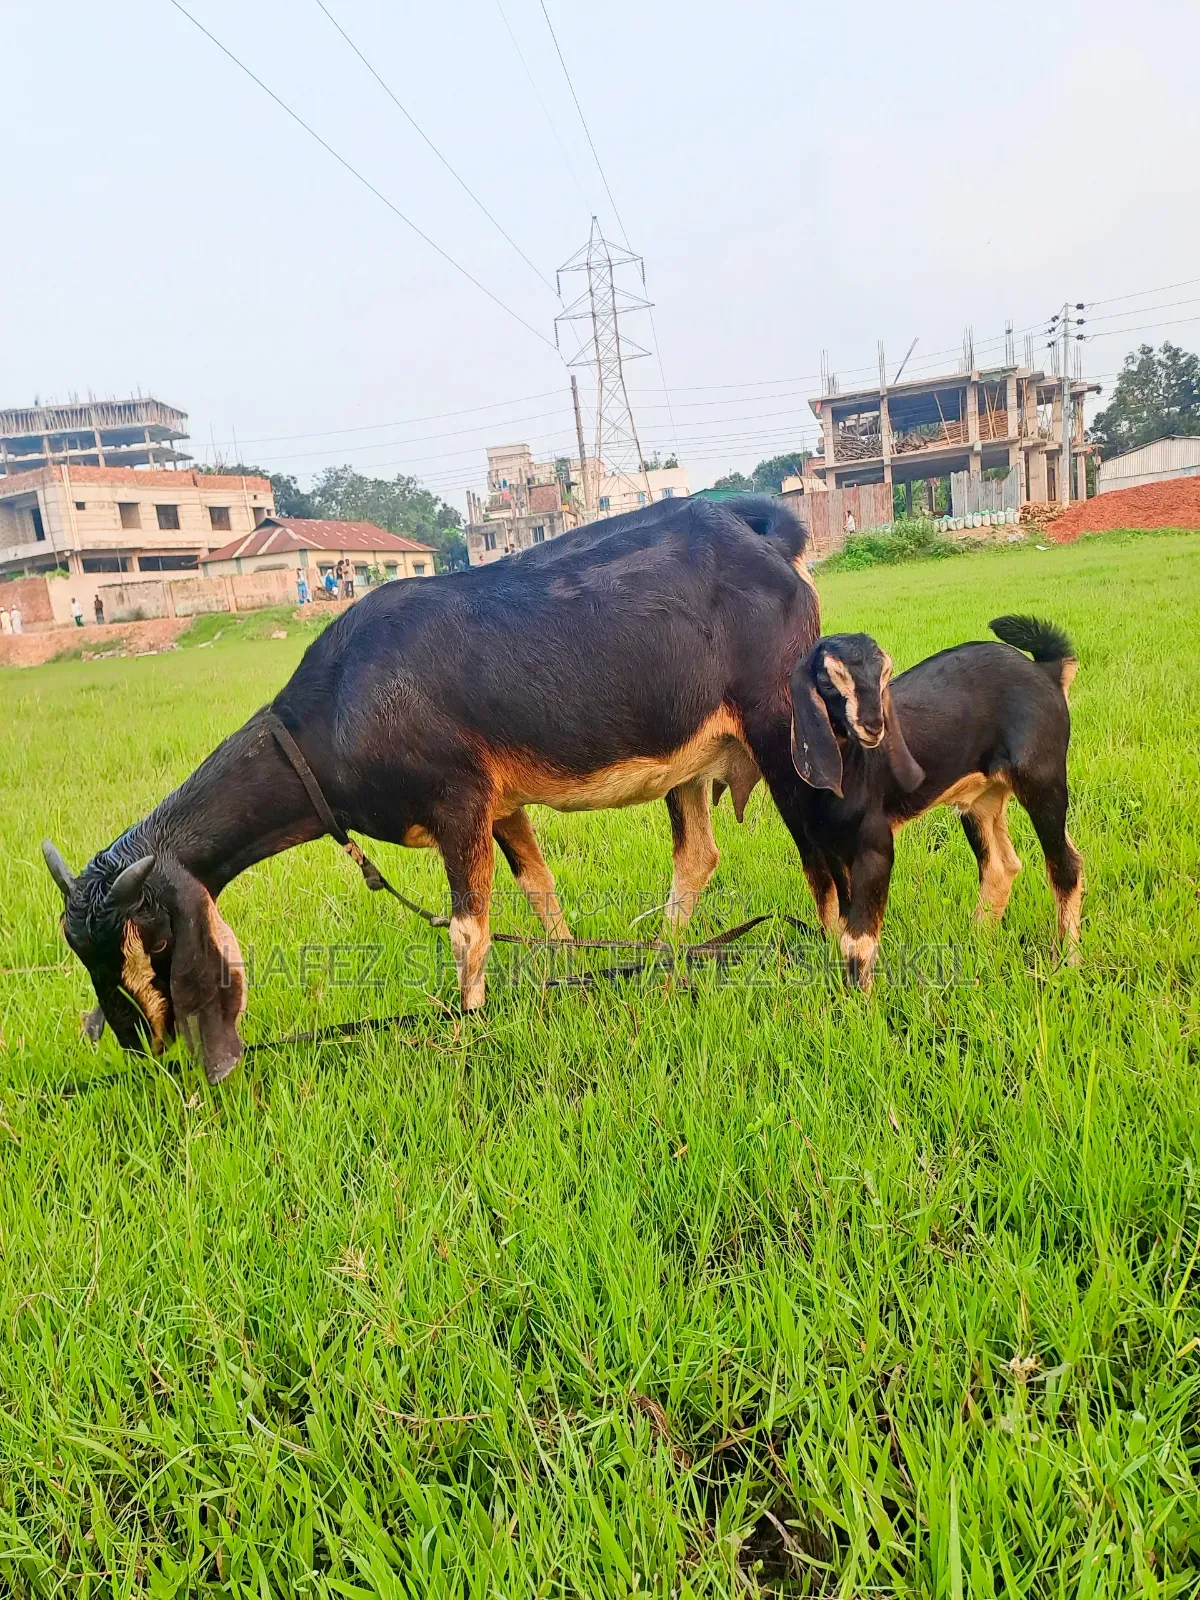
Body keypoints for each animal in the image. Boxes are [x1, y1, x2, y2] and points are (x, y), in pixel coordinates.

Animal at [788, 616, 1082, 989]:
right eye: (826, 679)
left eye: (885, 672)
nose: (874, 726)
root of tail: (1047, 672)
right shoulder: (833, 850)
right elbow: (844, 929)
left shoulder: (874, 846)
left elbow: (859, 941)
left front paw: (861, 1001)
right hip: (982, 800)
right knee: (1000, 866)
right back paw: (977, 946)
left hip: (1043, 778)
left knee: (1066, 864)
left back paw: (1068, 960)